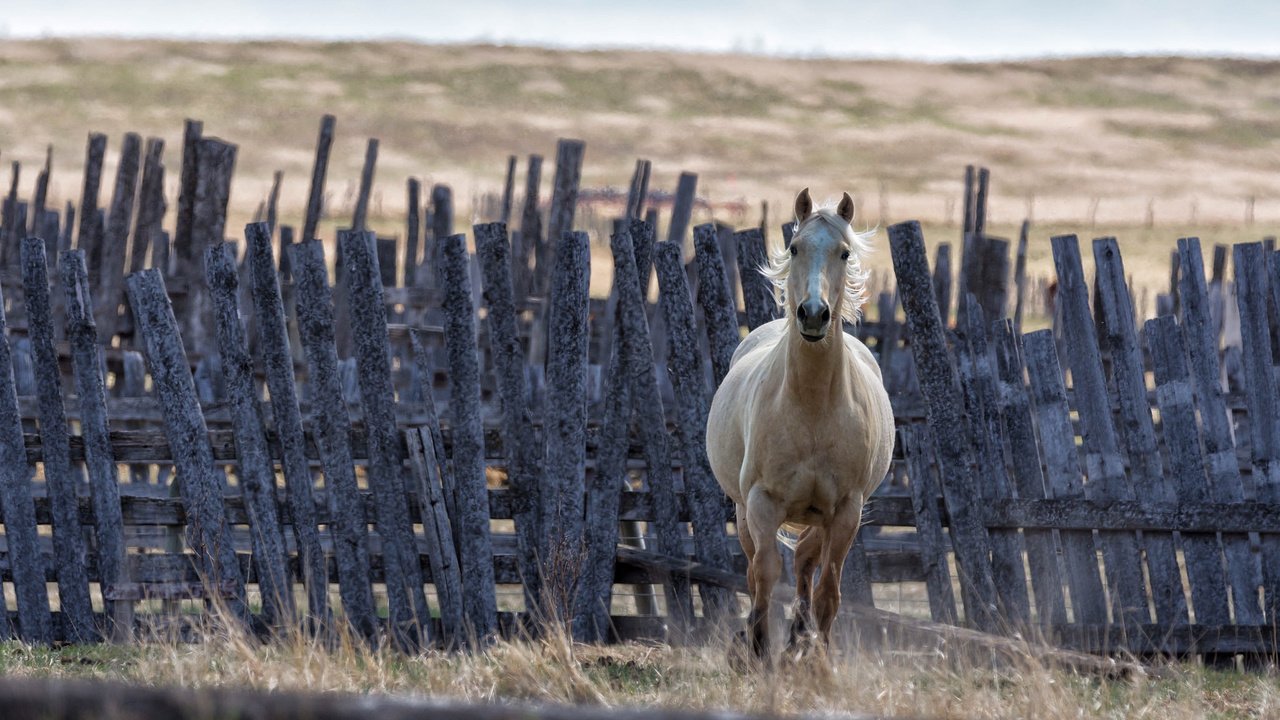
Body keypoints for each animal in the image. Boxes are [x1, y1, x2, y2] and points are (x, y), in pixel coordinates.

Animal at [706, 188, 896, 666]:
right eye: (794, 248)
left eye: (844, 252)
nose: (813, 314)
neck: (811, 408)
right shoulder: (761, 502)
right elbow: (764, 575)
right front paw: (757, 651)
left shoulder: (845, 510)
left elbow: (828, 588)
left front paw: (818, 657)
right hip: (744, 511)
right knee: (758, 568)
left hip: (818, 516)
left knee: (807, 563)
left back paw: (799, 639)